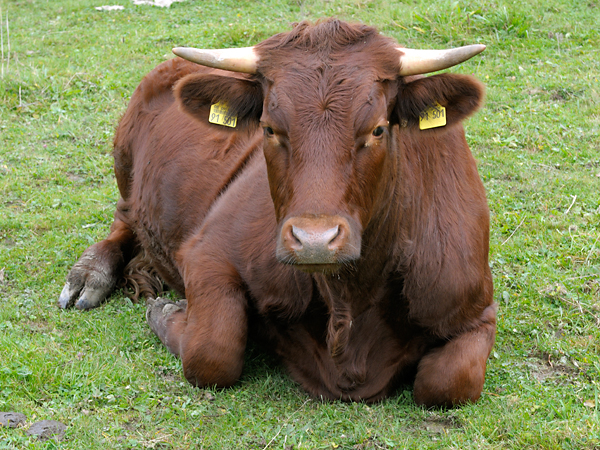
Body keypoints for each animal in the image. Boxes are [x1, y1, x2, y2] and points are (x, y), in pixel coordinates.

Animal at [59, 19, 497, 407]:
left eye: (377, 129)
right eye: (269, 128)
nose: (315, 241)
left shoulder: (475, 307)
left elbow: (449, 382)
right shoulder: (206, 252)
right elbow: (213, 352)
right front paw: (169, 311)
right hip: (125, 165)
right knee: (124, 220)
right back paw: (89, 274)